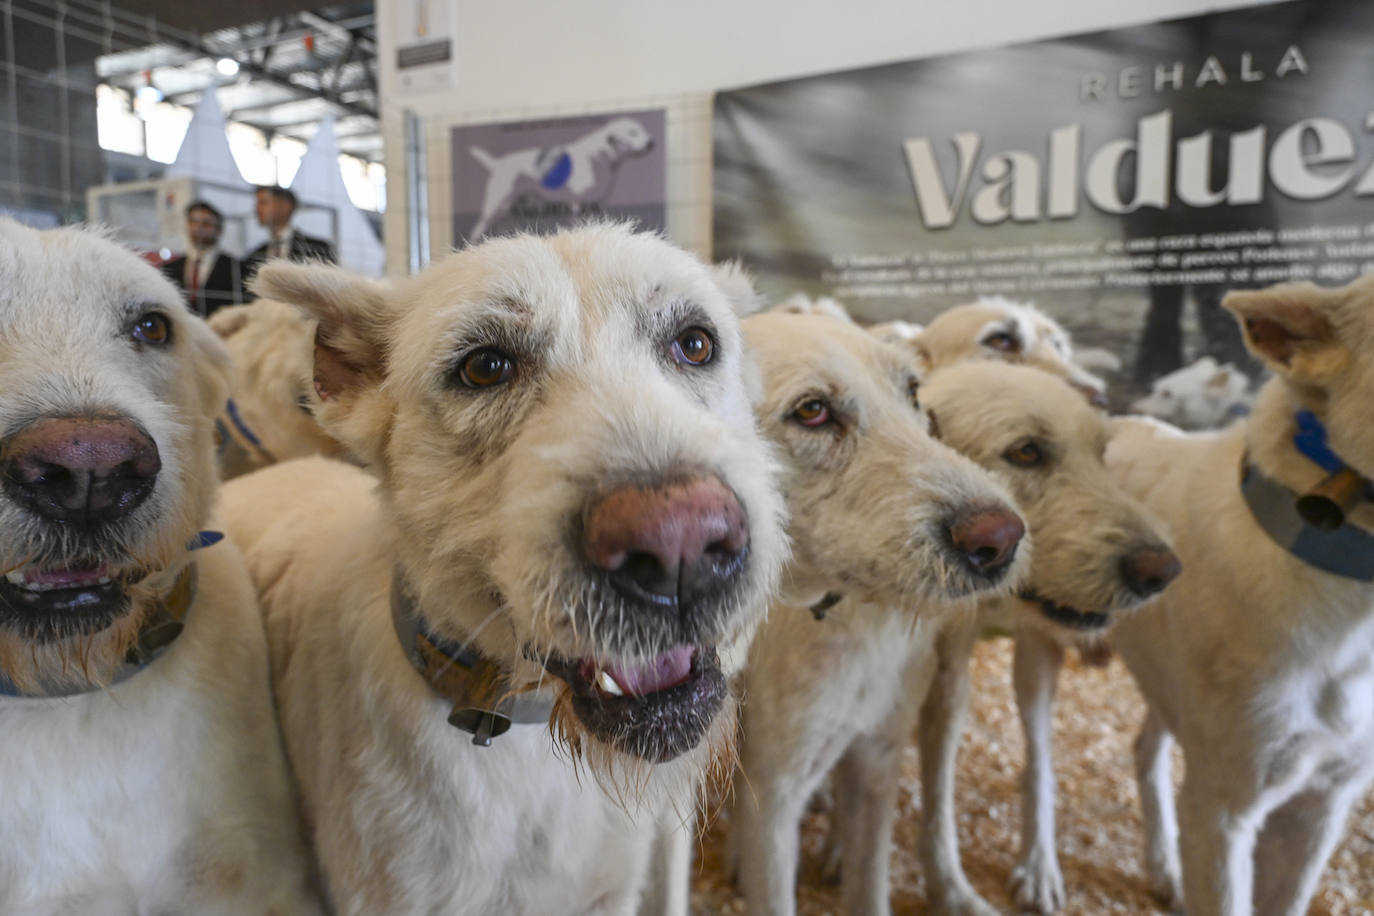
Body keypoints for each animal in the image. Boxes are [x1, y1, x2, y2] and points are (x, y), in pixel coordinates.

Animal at [467, 116, 654, 240]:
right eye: (632, 133)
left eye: (642, 130)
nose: (652, 143)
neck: (598, 156)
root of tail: (496, 162)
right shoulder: (577, 202)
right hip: (497, 200)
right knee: (478, 226)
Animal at [725, 313, 1027, 916]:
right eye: (812, 411)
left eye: (912, 392)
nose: (1003, 539)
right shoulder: (774, 795)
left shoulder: (877, 759)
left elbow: (871, 885)